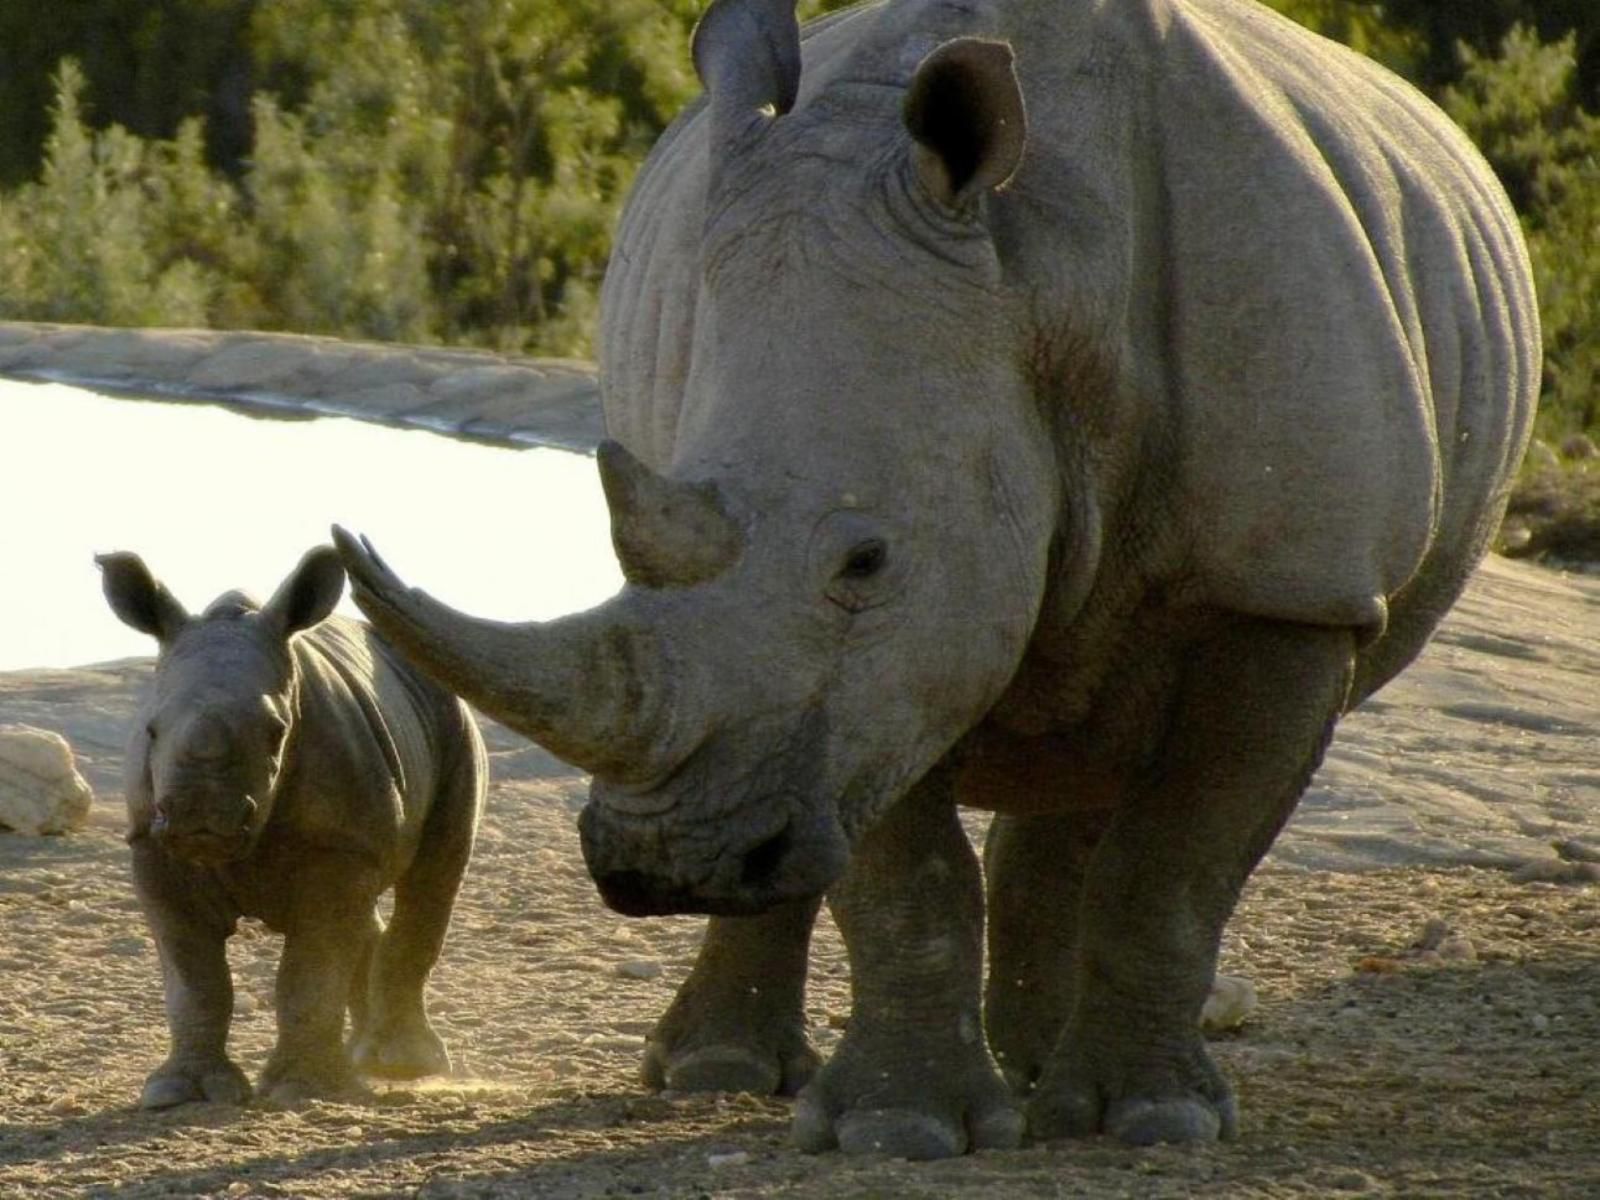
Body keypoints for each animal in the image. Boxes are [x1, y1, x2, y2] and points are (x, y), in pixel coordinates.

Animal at [99, 544, 483, 1107]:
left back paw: (400, 1064)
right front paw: (181, 1093)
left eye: (277, 730)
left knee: (434, 875)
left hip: (451, 710)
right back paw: (363, 1058)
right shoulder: (152, 844)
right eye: (150, 729)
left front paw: (301, 1089)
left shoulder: (337, 850)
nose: (198, 814)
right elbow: (195, 978)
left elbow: (311, 968)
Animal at [331, 0, 1529, 1158]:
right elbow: (901, 874)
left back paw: (1042, 1068)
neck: (1047, 281)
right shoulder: (879, 678)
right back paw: (719, 1074)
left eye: (865, 561)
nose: (661, 863)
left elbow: (1174, 866)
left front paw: (1152, 1121)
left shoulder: (1286, 589)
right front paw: (899, 1129)